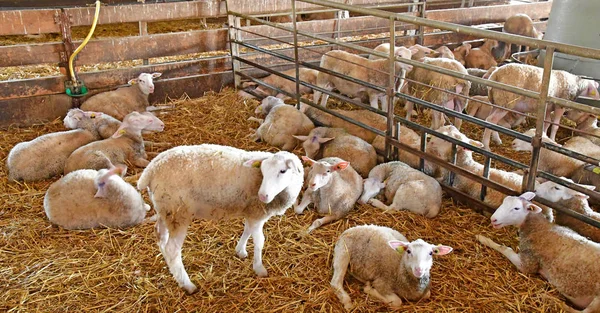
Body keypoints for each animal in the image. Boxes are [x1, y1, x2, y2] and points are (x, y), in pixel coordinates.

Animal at [137, 144, 304, 292]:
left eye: (282, 171)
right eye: (263, 171)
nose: (263, 196)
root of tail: (150, 170)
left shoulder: (251, 211)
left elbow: (247, 230)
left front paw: (240, 250)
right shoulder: (257, 213)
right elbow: (259, 241)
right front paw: (259, 268)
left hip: (165, 210)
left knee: (161, 237)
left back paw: (172, 270)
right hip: (178, 212)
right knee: (172, 249)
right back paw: (187, 285)